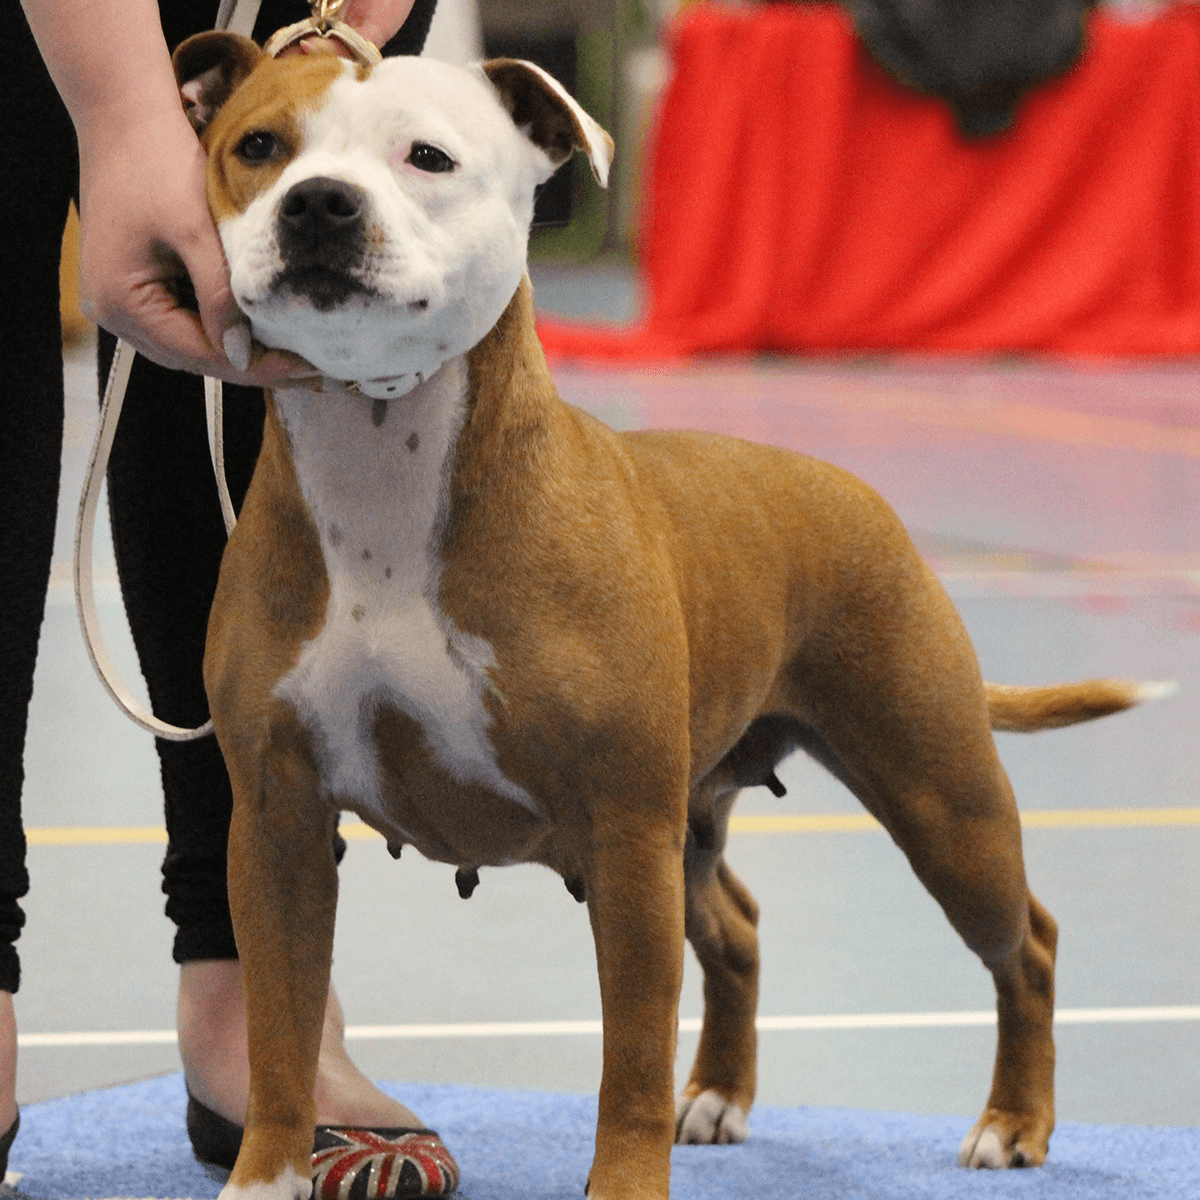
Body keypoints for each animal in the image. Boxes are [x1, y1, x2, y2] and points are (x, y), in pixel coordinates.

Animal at [175, 35, 1161, 1200]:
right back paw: (721, 1096)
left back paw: (1015, 1122)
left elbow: (630, 1057)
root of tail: (851, 490)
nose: (318, 202)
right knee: (737, 929)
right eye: (259, 147)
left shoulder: (625, 833)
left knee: (1028, 943)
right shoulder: (277, 823)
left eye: (428, 156)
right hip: (700, 818)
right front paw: (265, 1174)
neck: (385, 470)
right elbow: (278, 1038)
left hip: (938, 798)